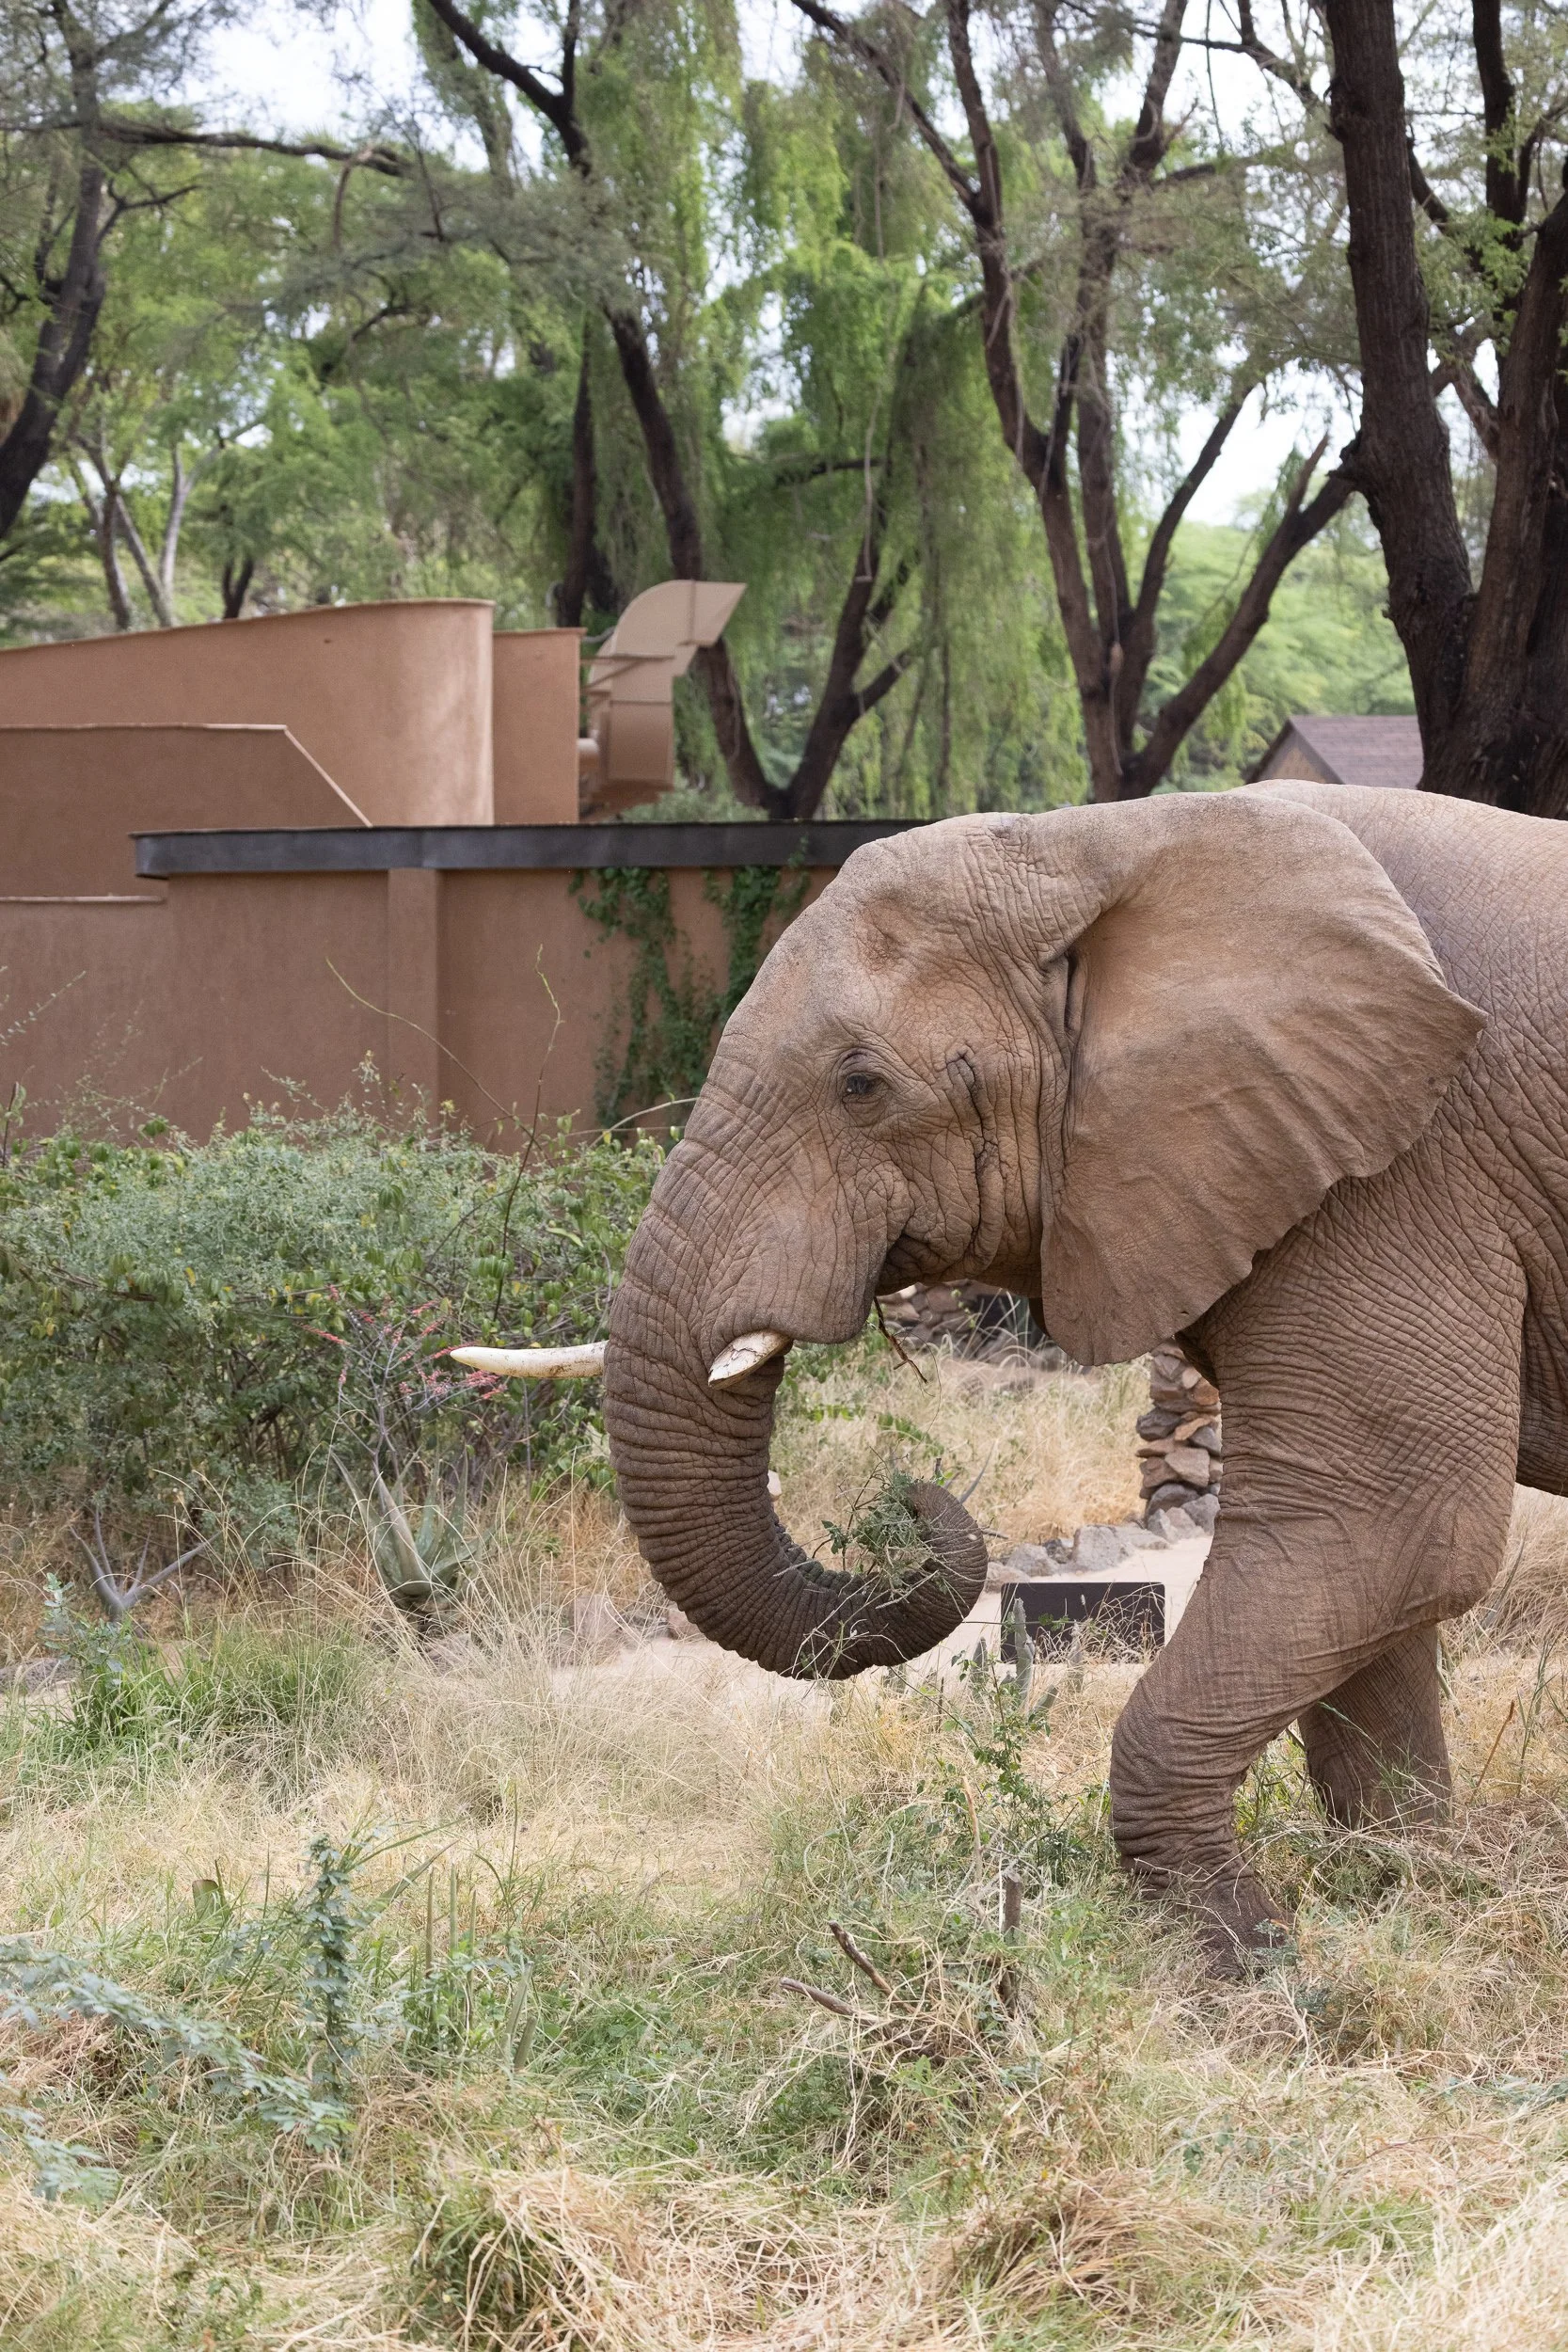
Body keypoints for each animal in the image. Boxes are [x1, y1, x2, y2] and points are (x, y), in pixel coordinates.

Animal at [599, 779, 1567, 1967]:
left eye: (860, 1084)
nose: (913, 1496)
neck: (1100, 842)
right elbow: (1373, 1581)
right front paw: (1401, 1903)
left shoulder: (1403, 1173)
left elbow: (1392, 1528)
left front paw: (1244, 1957)